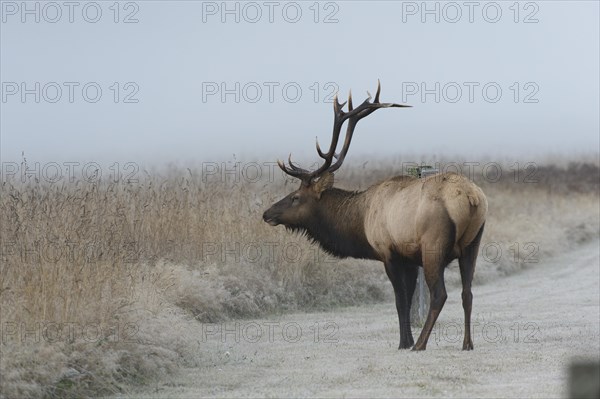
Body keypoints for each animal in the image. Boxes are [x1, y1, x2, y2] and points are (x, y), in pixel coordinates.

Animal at [262, 83, 488, 352]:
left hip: (434, 245)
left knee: (439, 294)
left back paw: (420, 344)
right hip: (473, 244)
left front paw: (404, 342)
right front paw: (405, 339)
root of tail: (472, 198)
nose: (267, 213)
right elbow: (408, 298)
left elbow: (400, 300)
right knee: (467, 293)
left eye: (295, 197)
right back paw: (467, 343)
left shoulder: (388, 252)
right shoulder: (409, 258)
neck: (360, 221)